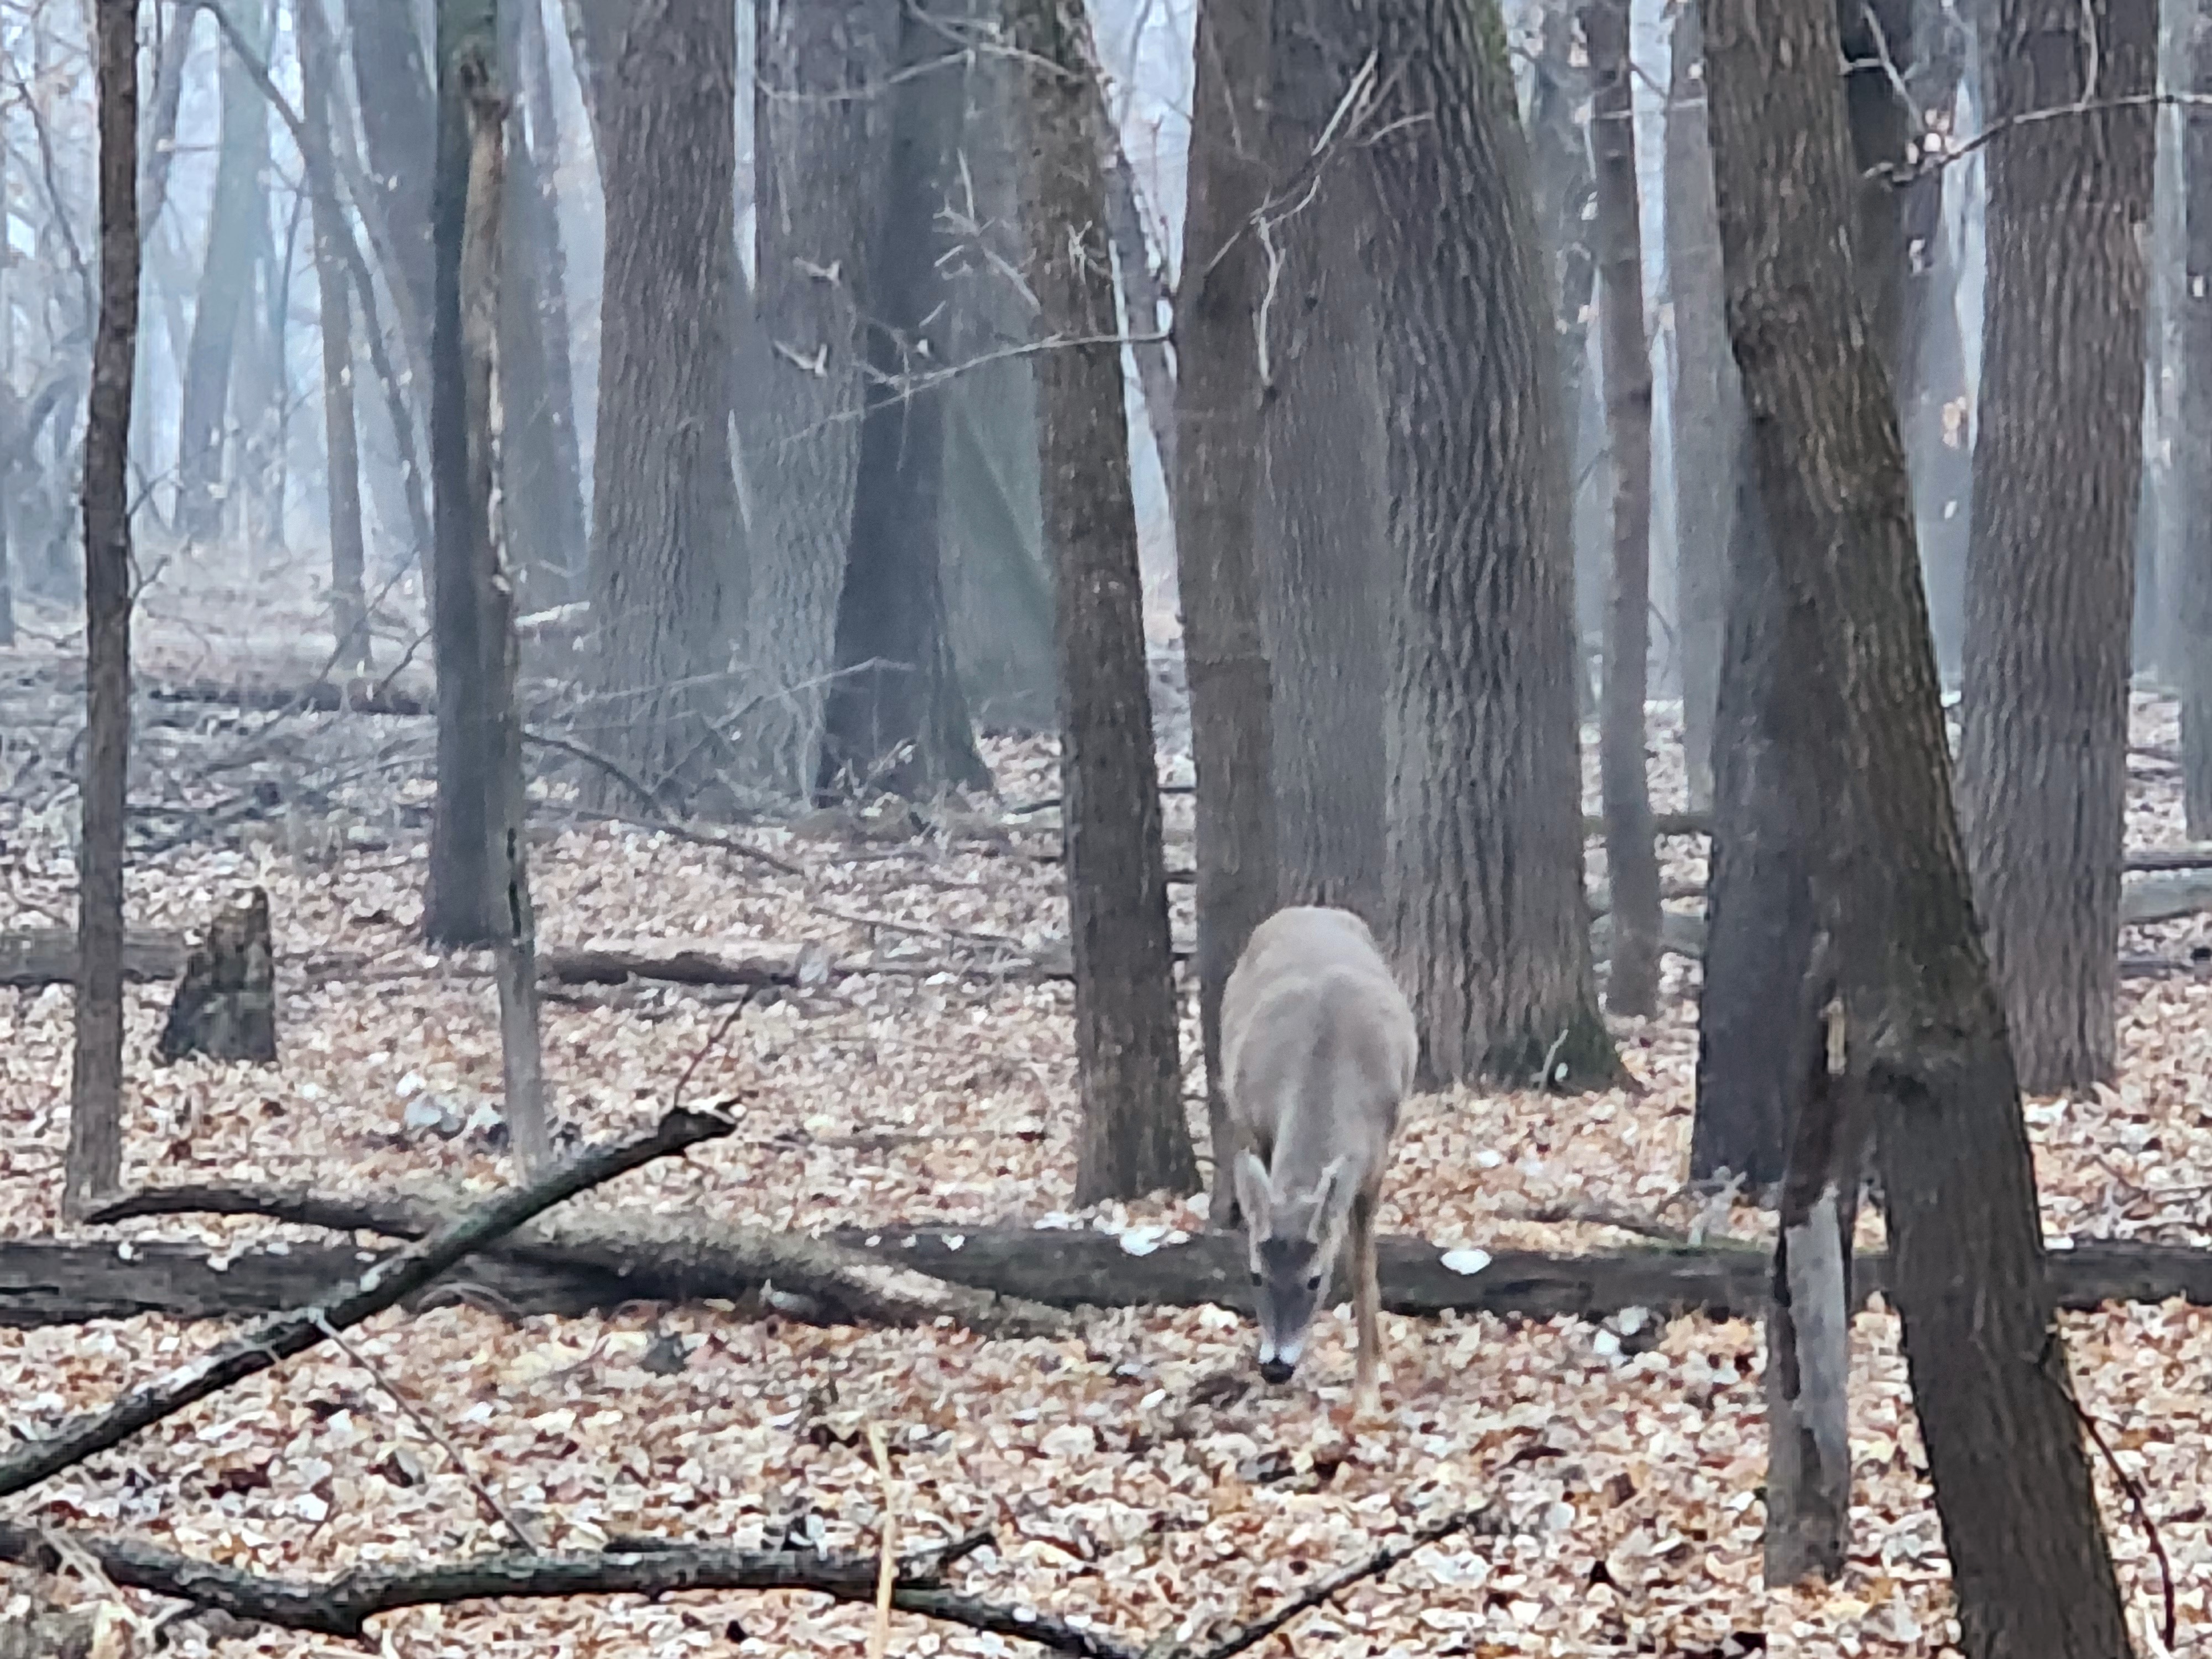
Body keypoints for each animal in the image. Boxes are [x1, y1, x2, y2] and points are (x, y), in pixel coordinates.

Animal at [1222, 905, 1417, 1413]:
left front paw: (1369, 1385)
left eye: (1315, 1281)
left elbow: (1364, 1268)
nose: (1275, 1367)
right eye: (1255, 1275)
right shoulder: (1258, 1128)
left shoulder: (1374, 1164)